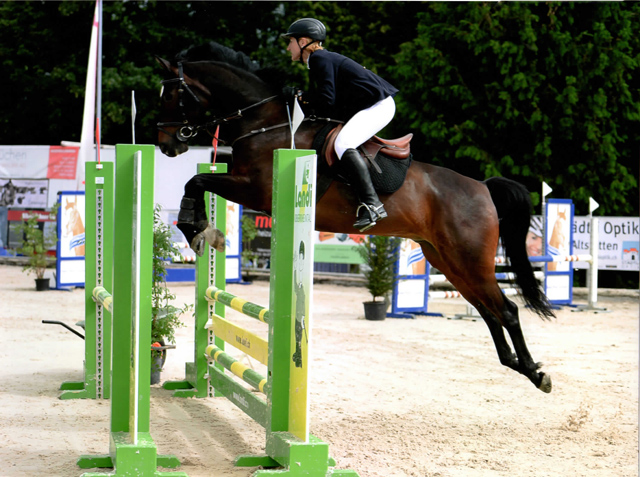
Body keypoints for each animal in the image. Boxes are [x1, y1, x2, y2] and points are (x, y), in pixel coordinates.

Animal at [155, 41, 556, 392]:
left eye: (171, 96)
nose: (167, 145)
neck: (264, 123)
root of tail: (483, 188)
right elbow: (198, 182)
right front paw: (201, 230)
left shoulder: (253, 189)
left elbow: (197, 180)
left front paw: (200, 231)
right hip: (448, 261)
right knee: (488, 311)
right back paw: (517, 364)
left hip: (470, 260)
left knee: (507, 310)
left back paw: (536, 373)